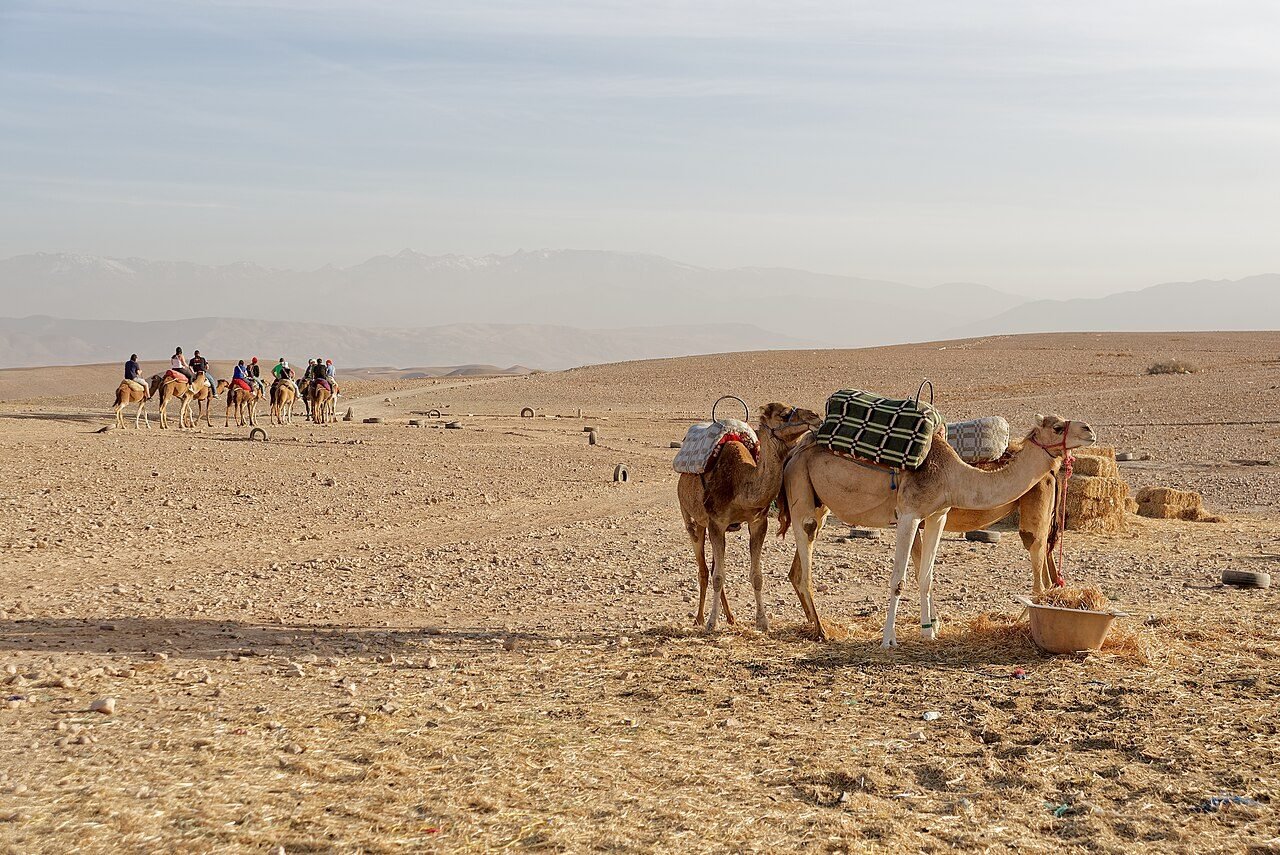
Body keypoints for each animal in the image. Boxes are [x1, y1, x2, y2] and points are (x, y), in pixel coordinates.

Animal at [677, 403, 822, 633]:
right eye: (784, 414)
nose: (815, 417)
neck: (741, 484)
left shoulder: (757, 523)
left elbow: (756, 576)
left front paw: (762, 622)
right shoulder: (716, 523)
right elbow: (718, 577)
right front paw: (711, 622)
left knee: (712, 566)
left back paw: (731, 617)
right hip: (691, 520)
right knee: (703, 569)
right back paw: (699, 618)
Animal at [779, 414, 1094, 647]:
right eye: (1057, 427)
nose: (1089, 430)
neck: (953, 475)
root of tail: (795, 451)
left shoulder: (937, 515)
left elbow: (926, 577)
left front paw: (929, 631)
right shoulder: (908, 514)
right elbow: (899, 580)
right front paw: (889, 639)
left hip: (819, 504)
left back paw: (814, 627)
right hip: (800, 489)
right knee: (804, 563)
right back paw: (822, 631)